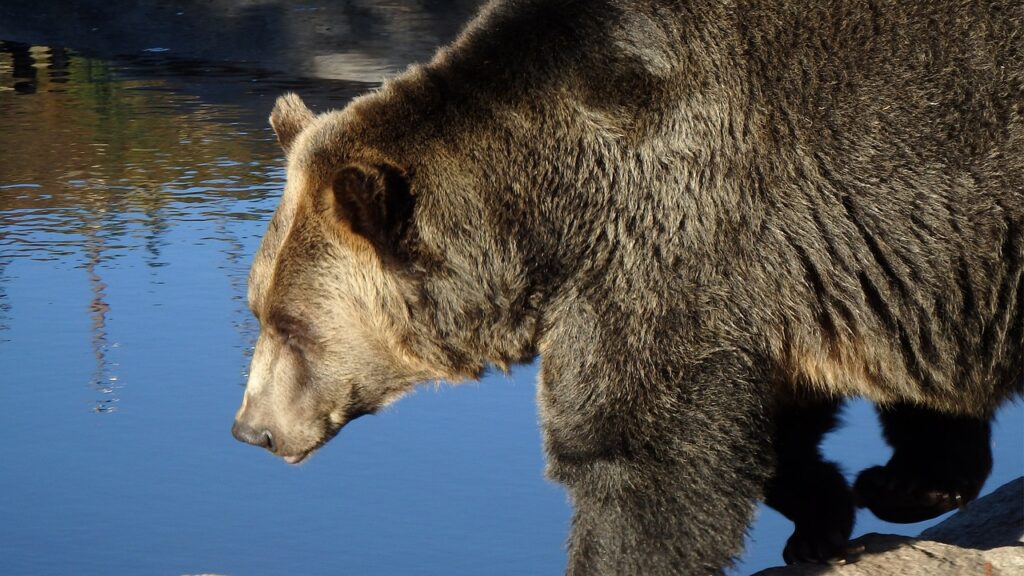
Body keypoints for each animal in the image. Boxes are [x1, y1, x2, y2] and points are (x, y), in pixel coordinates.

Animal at [231, 0, 1023, 573]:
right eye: (257, 306)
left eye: (294, 324)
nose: (251, 430)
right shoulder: (815, 272)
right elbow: (775, 414)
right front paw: (845, 504)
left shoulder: (675, 238)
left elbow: (641, 457)